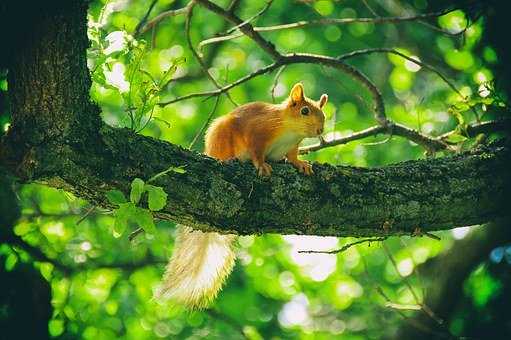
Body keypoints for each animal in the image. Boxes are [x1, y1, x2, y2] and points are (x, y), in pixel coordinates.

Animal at [155, 82, 328, 308]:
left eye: (323, 114)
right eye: (305, 111)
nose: (320, 130)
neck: (290, 131)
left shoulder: (292, 146)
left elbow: (292, 157)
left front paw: (301, 164)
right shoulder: (258, 132)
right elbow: (256, 152)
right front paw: (262, 165)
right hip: (221, 135)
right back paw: (230, 159)